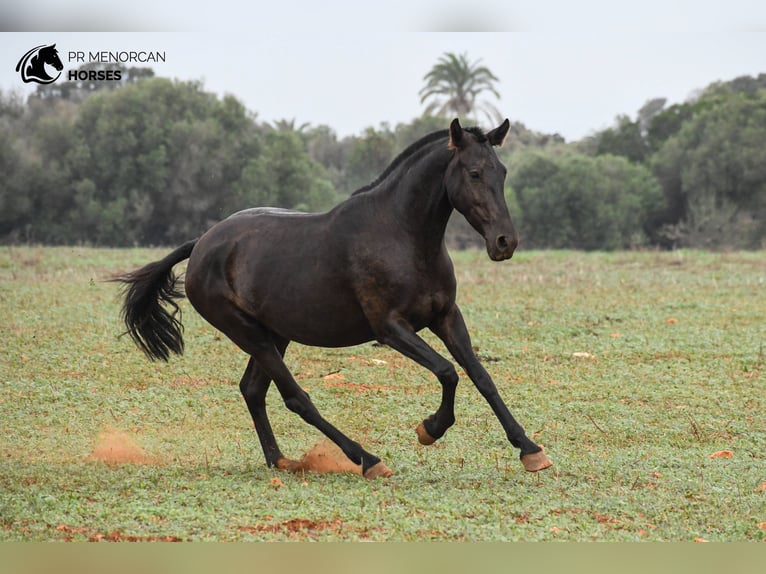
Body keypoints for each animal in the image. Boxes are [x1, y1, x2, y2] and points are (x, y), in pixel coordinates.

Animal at [118, 119, 552, 480]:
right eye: (474, 173)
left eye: (502, 172)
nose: (505, 242)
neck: (402, 235)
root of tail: (202, 244)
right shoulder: (390, 328)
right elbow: (448, 372)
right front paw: (429, 429)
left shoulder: (446, 316)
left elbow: (481, 376)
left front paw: (530, 450)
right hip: (247, 333)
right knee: (296, 398)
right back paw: (368, 459)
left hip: (273, 334)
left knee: (253, 390)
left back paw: (280, 461)